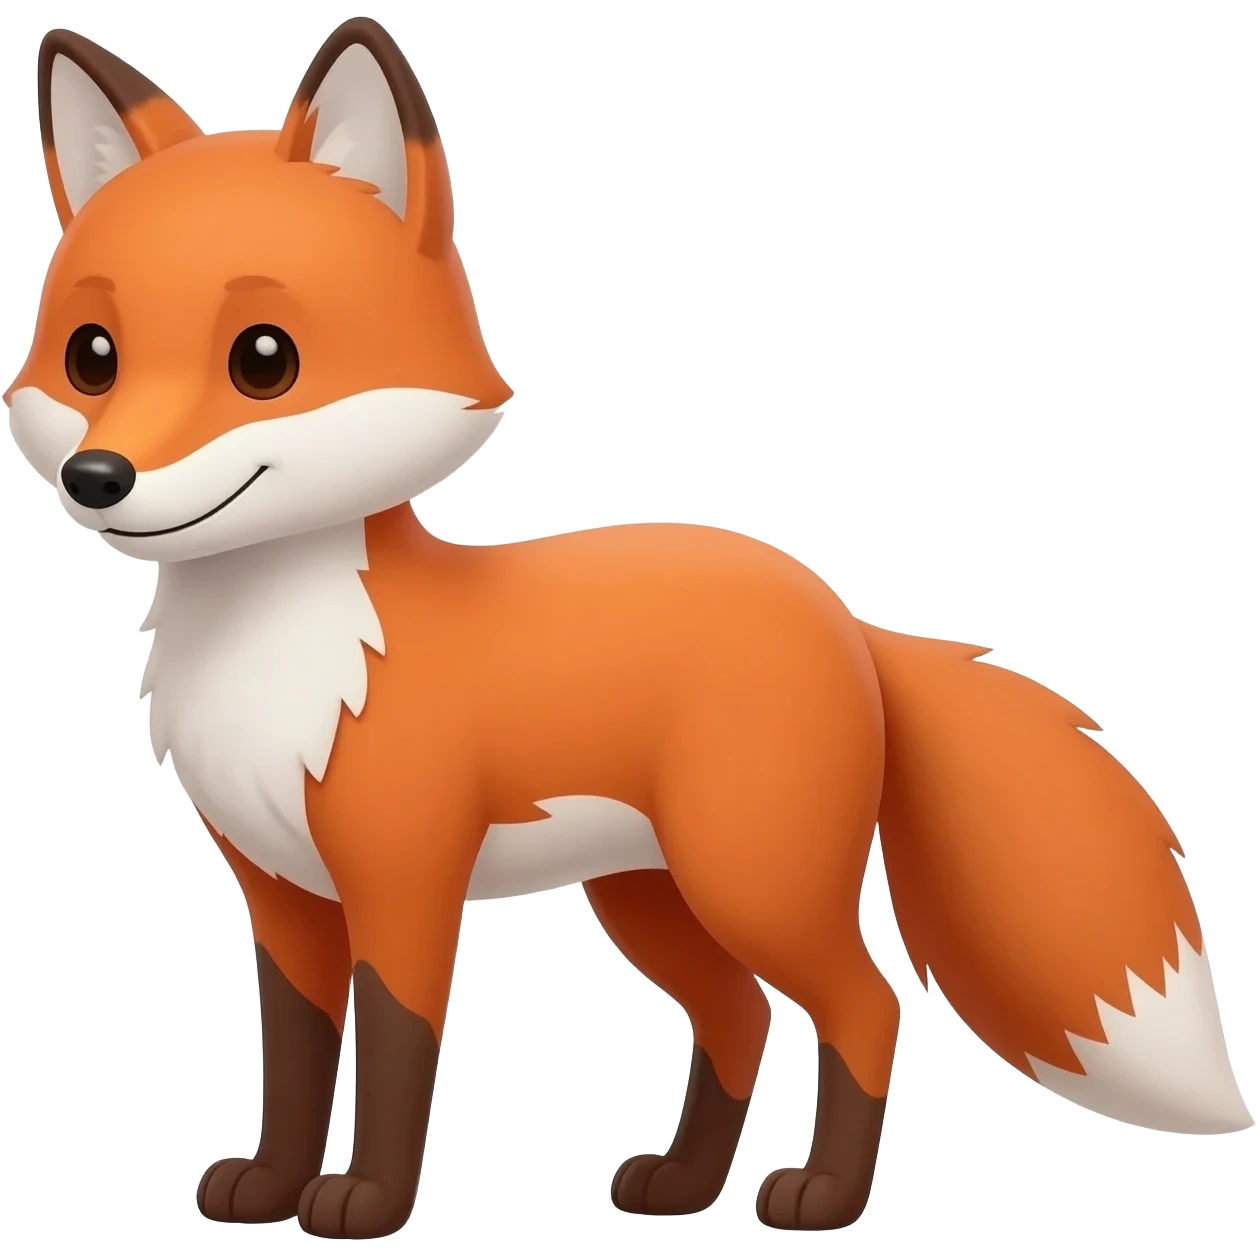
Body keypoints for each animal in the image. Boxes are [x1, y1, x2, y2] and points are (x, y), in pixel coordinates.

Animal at [5, 15, 1251, 1241]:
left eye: (264, 358)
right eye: (91, 356)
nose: (99, 477)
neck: (285, 662)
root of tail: (846, 616)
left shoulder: (404, 883)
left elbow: (399, 1051)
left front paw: (366, 1203)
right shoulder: (279, 895)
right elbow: (296, 1057)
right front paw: (268, 1187)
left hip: (750, 880)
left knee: (866, 1006)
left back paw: (821, 1198)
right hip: (654, 899)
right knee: (739, 1018)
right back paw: (684, 1187)